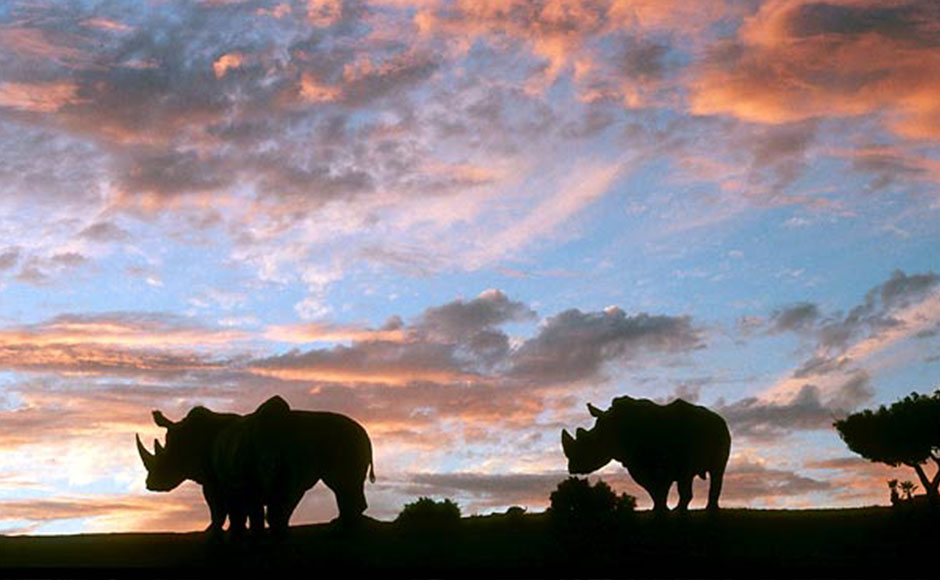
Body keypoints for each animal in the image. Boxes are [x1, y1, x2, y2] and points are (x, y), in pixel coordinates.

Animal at [136, 394, 374, 536]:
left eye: (166, 459)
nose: (151, 484)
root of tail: (366, 434)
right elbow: (242, 510)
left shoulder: (215, 480)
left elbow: (219, 507)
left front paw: (213, 532)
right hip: (342, 441)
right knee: (342, 485)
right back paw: (342, 525)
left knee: (339, 485)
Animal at [560, 396, 732, 516]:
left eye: (590, 443)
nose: (572, 468)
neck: (611, 430)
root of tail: (719, 417)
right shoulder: (635, 463)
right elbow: (651, 488)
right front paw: (658, 510)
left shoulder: (665, 462)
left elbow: (662, 487)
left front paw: (664, 511)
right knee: (689, 475)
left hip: (720, 431)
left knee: (715, 471)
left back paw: (704, 510)